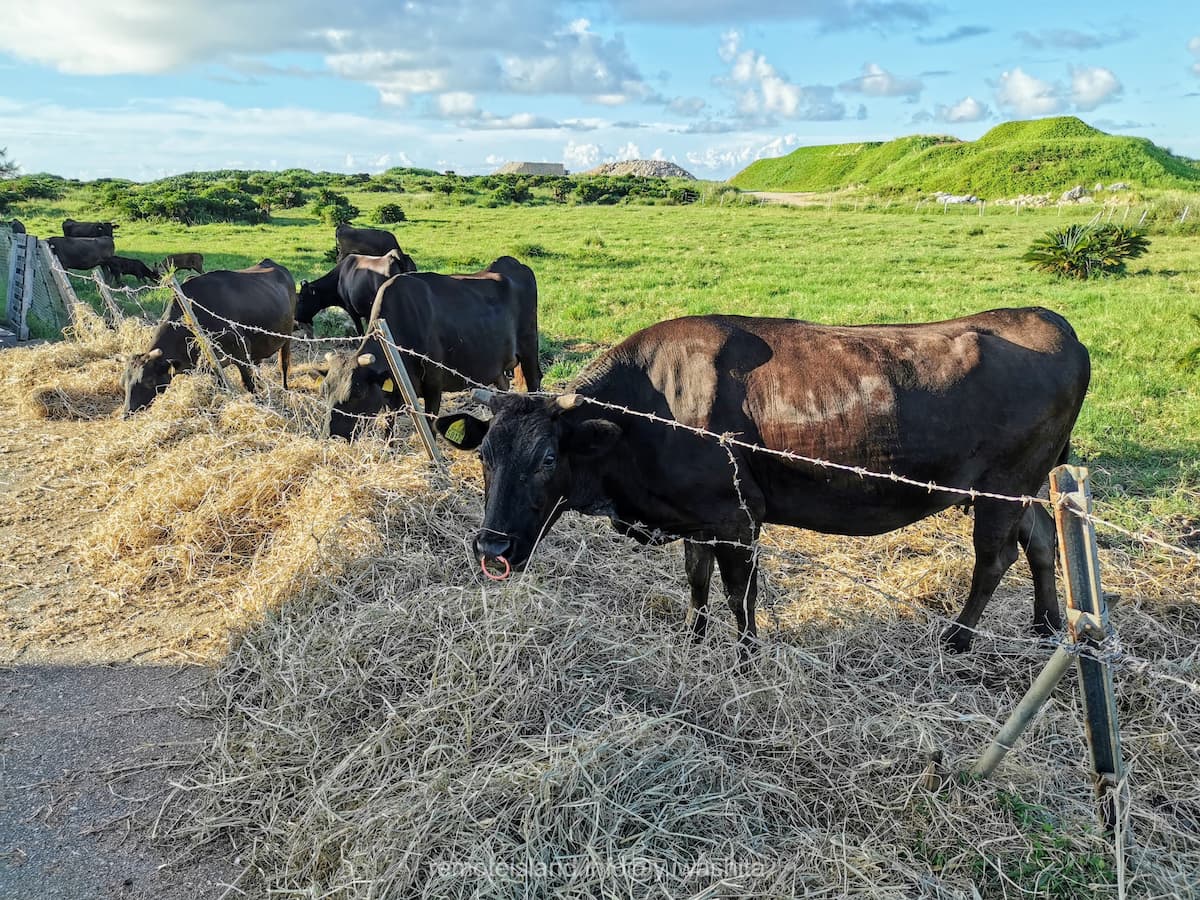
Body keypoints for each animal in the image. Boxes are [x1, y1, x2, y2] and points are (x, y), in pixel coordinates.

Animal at [121, 260, 295, 415]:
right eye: (124, 382)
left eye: (149, 381)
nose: (127, 413)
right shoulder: (212, 364)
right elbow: (222, 386)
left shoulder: (241, 350)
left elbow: (248, 384)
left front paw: (261, 405)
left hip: (287, 336)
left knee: (284, 364)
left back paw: (285, 389)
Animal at [322, 256, 542, 439]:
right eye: (325, 391)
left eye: (357, 393)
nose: (333, 436)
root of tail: (515, 264)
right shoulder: (395, 389)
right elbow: (389, 423)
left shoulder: (434, 384)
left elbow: (430, 424)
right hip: (498, 367)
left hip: (529, 347)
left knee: (534, 383)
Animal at [435, 308, 1091, 658]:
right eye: (484, 456)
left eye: (548, 458)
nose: (490, 547)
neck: (650, 411)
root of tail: (1054, 323)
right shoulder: (696, 517)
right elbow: (697, 582)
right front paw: (694, 639)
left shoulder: (737, 518)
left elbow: (738, 596)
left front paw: (748, 656)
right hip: (1026, 486)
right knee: (1040, 540)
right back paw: (1046, 626)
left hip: (1004, 487)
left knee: (995, 558)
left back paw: (956, 639)